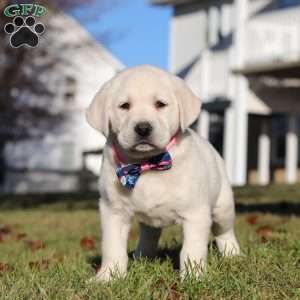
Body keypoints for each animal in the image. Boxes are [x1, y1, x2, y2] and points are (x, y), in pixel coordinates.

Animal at [85, 65, 240, 282]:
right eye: (124, 106)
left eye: (160, 104)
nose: (143, 128)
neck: (147, 163)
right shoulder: (113, 211)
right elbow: (112, 247)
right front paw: (108, 277)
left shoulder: (195, 213)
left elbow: (191, 250)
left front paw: (193, 278)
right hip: (148, 221)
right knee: (149, 235)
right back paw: (141, 258)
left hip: (222, 207)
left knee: (224, 231)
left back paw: (232, 254)